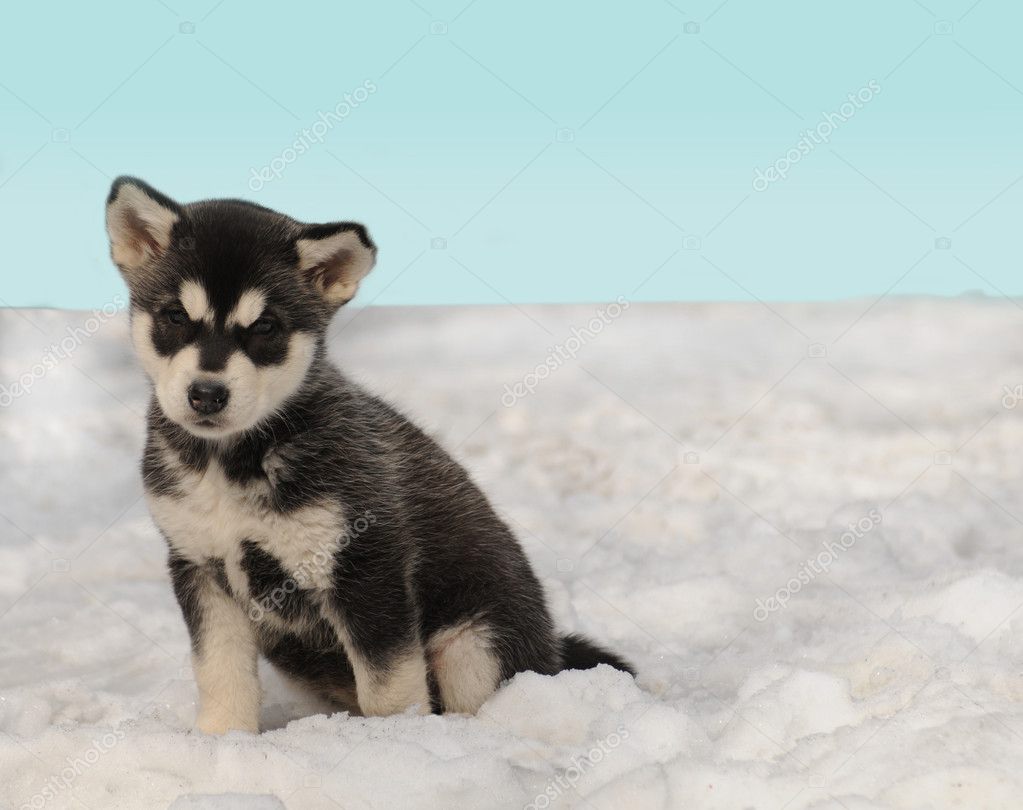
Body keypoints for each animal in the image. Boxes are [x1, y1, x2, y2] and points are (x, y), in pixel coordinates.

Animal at [105, 176, 630, 732]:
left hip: (473, 640)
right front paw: (222, 738)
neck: (230, 463)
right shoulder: (199, 565)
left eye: (266, 326)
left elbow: (388, 684)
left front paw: (392, 740)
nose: (207, 394)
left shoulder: (365, 566)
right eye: (175, 316)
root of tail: (550, 650)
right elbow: (220, 671)